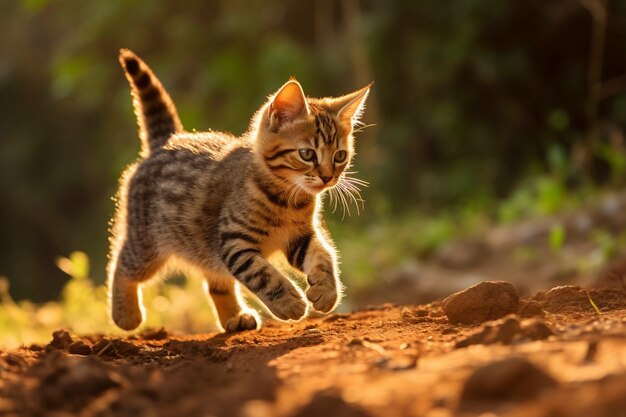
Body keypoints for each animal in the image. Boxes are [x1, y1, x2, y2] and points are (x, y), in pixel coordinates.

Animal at [109, 49, 368, 332]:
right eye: (307, 154)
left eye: (340, 156)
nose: (328, 176)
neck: (289, 199)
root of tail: (167, 140)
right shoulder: (234, 241)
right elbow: (261, 274)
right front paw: (288, 302)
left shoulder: (300, 236)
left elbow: (324, 256)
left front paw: (326, 291)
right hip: (147, 241)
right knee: (121, 265)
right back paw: (125, 315)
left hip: (203, 248)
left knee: (216, 283)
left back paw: (235, 317)